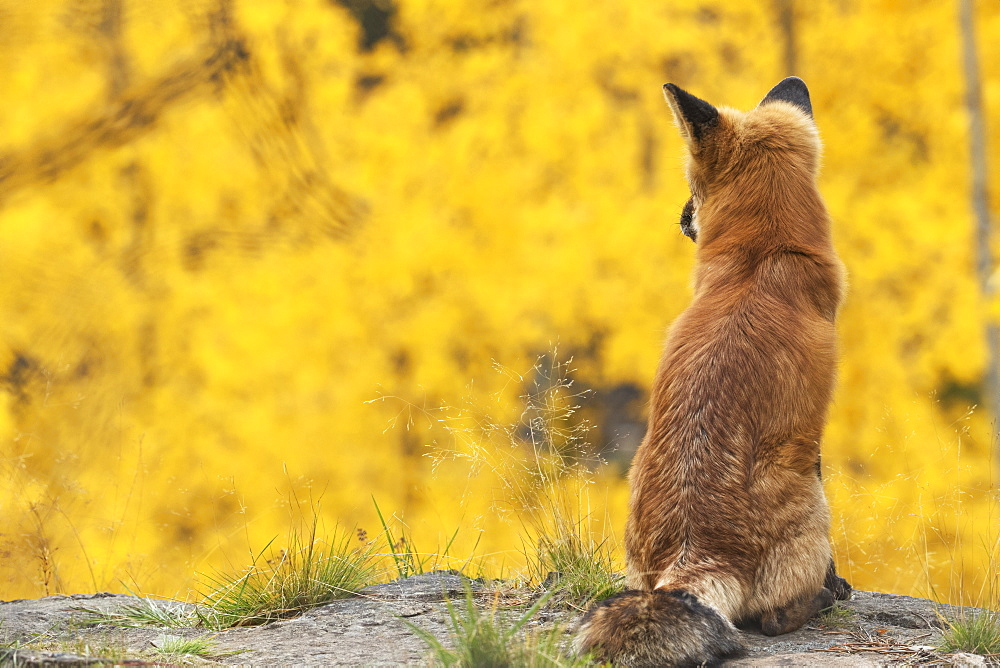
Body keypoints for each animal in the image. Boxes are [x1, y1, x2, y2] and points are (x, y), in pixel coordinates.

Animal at [580, 77, 852, 664]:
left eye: (692, 186)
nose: (681, 218)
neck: (763, 254)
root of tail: (695, 548)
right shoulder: (812, 432)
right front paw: (836, 583)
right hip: (809, 497)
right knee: (771, 618)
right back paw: (820, 600)